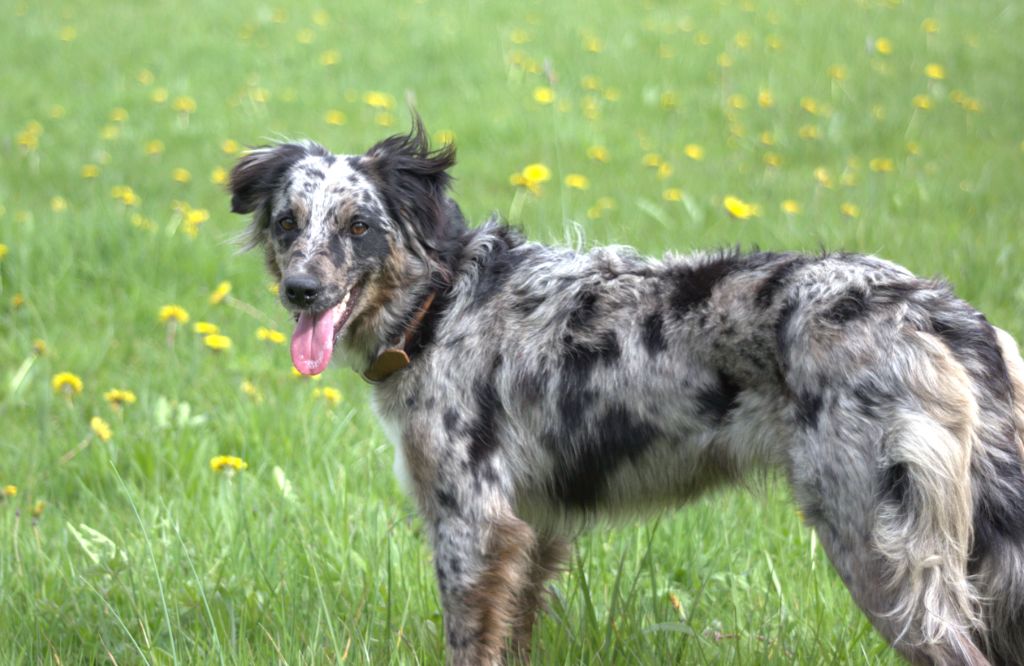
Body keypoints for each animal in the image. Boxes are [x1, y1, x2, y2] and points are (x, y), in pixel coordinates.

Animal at [230, 119, 1024, 663]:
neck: (444, 302)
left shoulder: (473, 525)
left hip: (879, 547)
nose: (301, 290)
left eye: (359, 226)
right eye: (288, 223)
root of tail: (931, 307)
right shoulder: (532, 530)